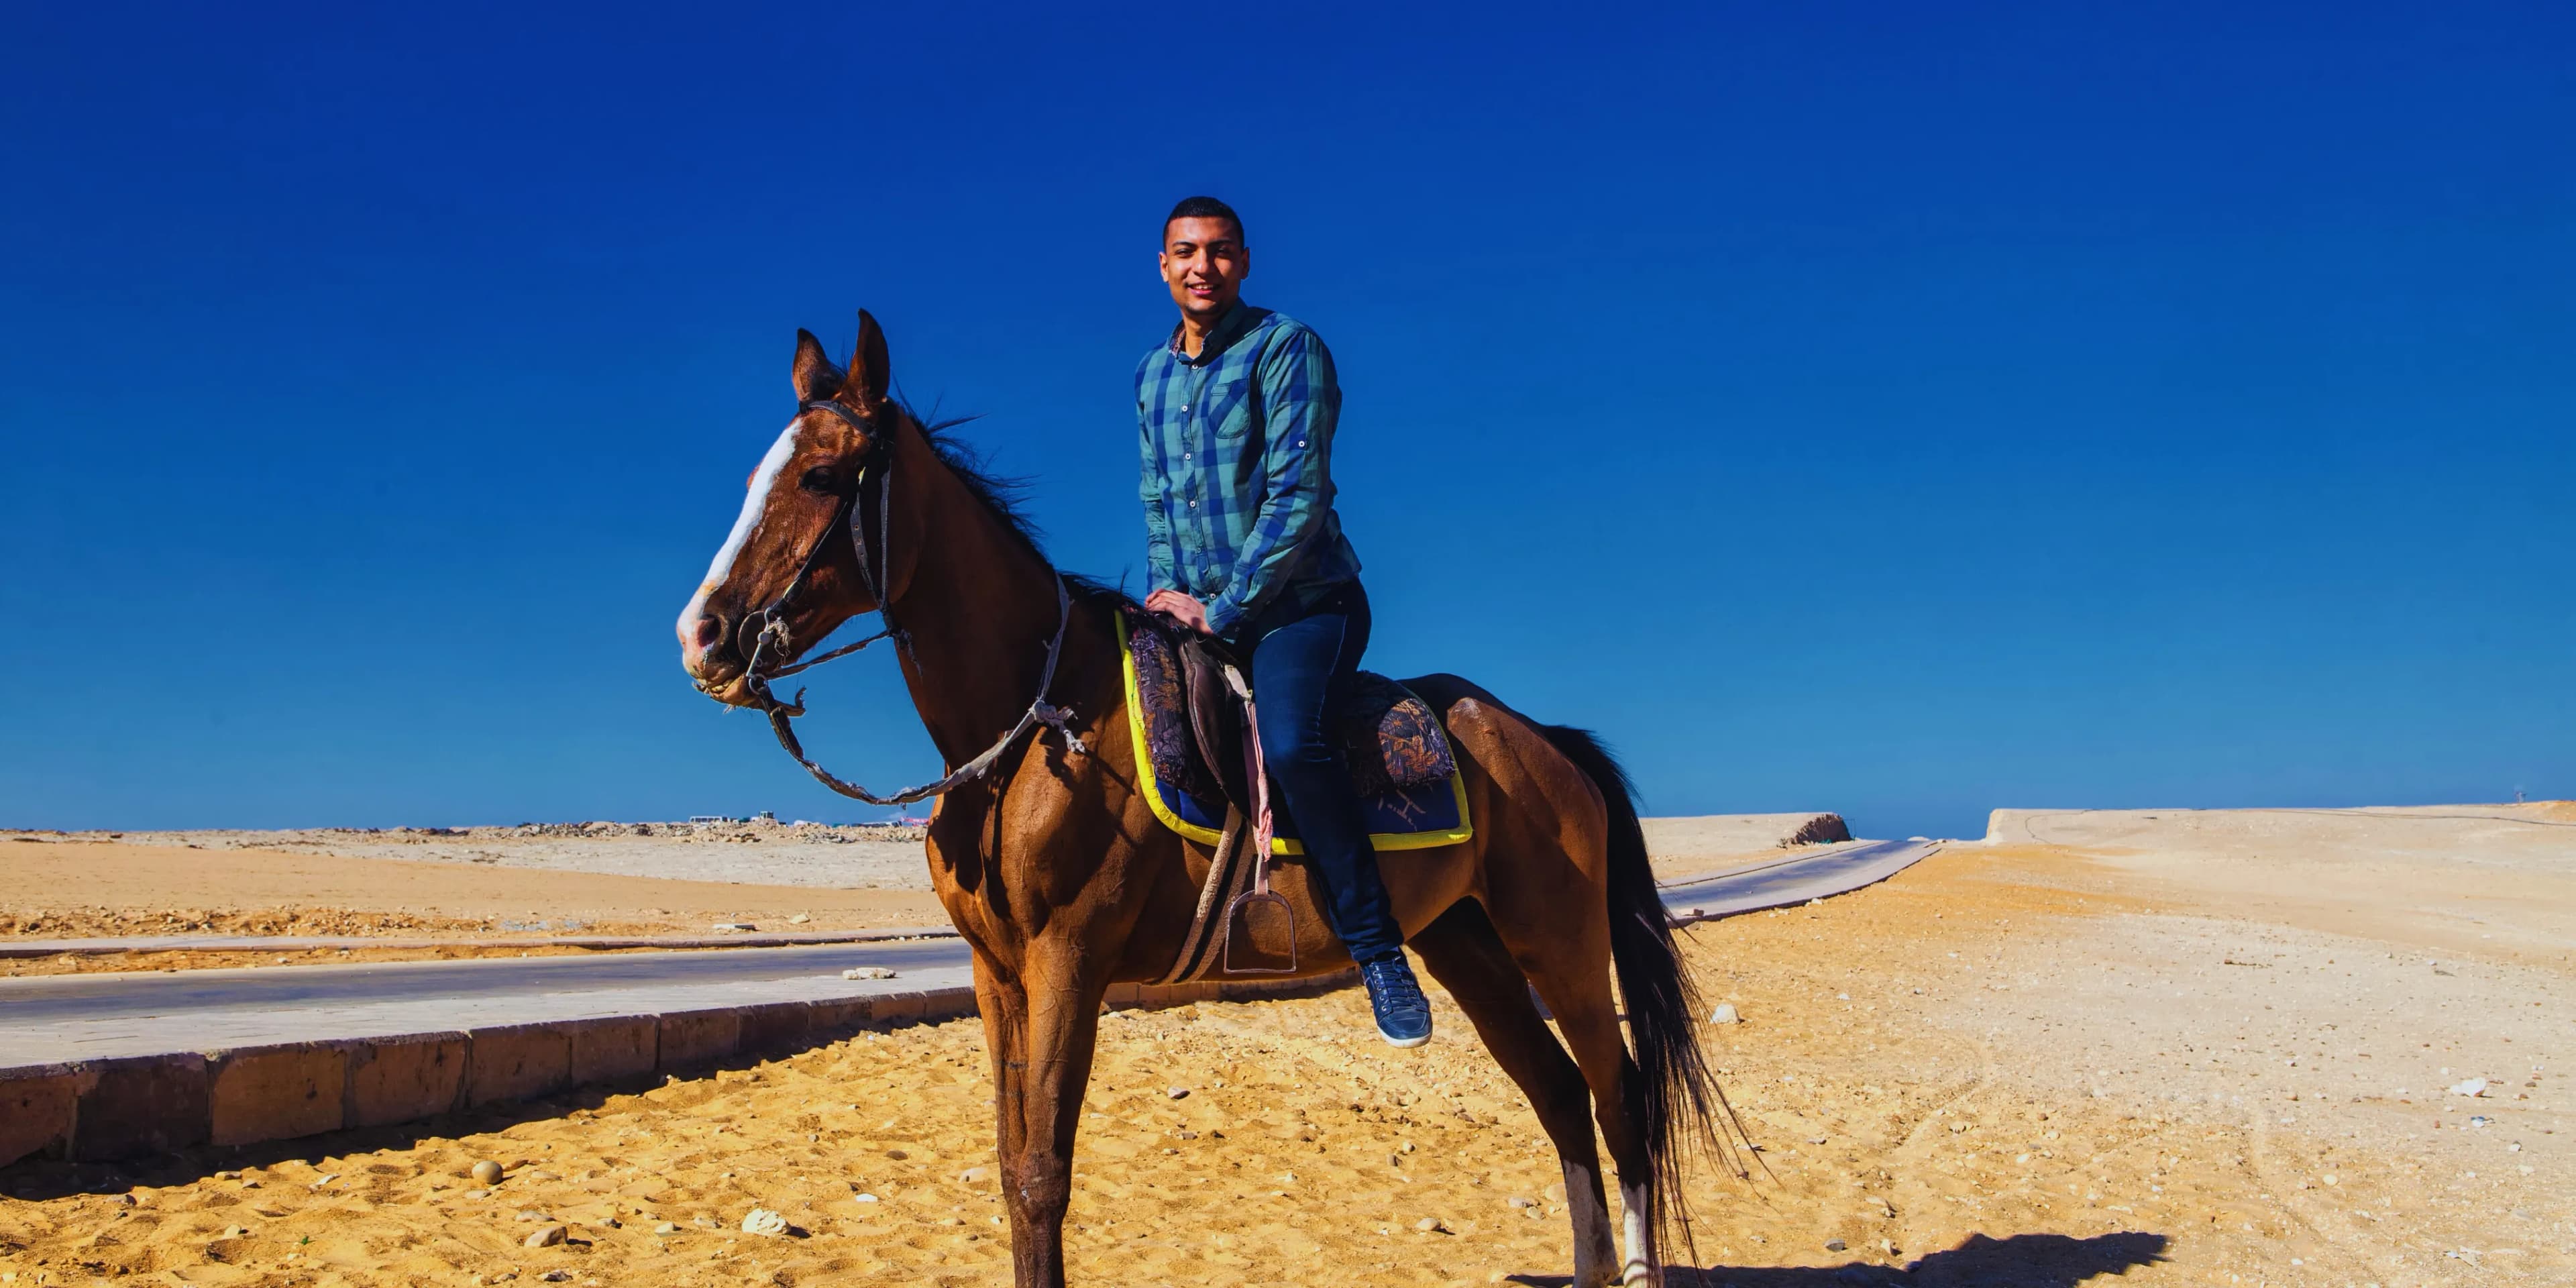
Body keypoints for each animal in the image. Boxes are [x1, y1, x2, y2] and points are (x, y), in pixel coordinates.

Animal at [677, 312, 1729, 1287]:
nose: (704, 636)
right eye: (755, 479)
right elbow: (1013, 1169)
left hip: (1560, 948)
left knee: (1618, 1100)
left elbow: (1043, 1176)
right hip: (1466, 945)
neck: (1034, 719)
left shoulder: (1069, 963)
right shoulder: (997, 976)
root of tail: (1545, 741)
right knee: (1559, 1097)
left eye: (821, 478)